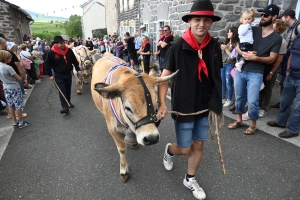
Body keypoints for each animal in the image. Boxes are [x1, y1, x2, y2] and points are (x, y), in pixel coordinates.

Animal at [90, 52, 177, 182]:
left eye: (156, 103)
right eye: (128, 108)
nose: (151, 138)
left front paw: (133, 142)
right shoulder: (114, 130)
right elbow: (121, 149)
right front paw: (123, 170)